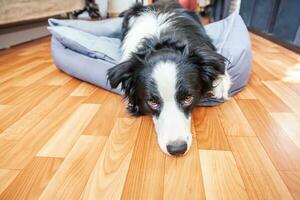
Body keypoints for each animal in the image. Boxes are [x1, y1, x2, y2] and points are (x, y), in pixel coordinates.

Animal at [106, 0, 231, 156]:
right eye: (152, 102)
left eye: (188, 98)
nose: (177, 149)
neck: (161, 41)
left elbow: (218, 63)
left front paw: (222, 85)